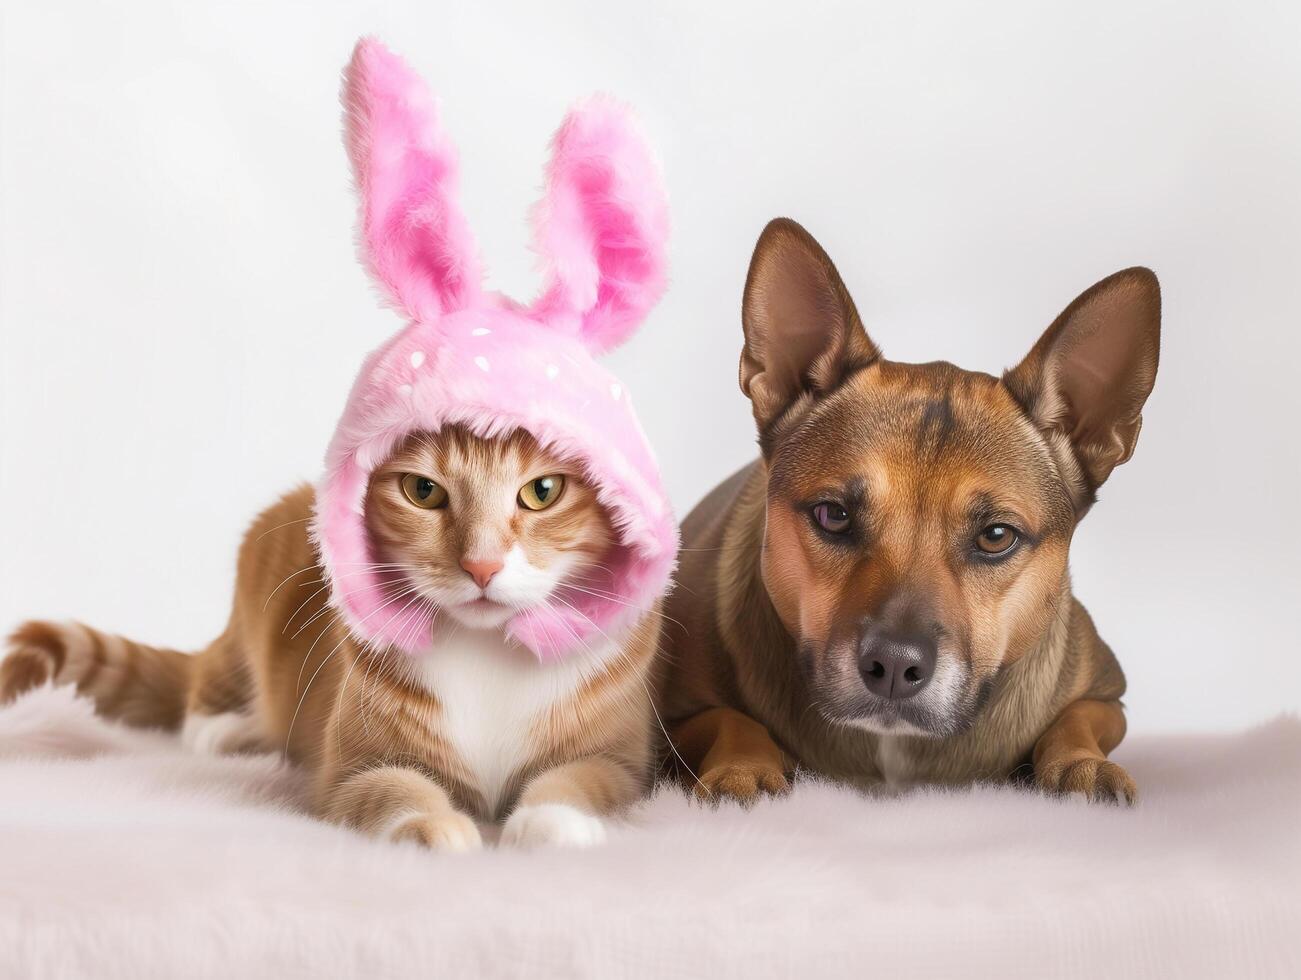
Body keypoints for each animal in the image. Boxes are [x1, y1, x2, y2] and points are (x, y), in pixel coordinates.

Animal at [2, 426, 660, 848]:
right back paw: (232, 731)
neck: (486, 651)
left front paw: (554, 822)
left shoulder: (619, 761)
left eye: (542, 491)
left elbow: (581, 779)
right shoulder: (351, 768)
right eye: (423, 491)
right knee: (209, 682)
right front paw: (438, 827)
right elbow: (392, 790)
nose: (481, 565)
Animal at [660, 219, 1160, 801]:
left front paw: (1084, 763)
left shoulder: (1107, 696)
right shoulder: (674, 716)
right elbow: (732, 719)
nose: (895, 665)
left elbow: (1076, 720)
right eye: (833, 515)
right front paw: (744, 765)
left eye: (996, 536)